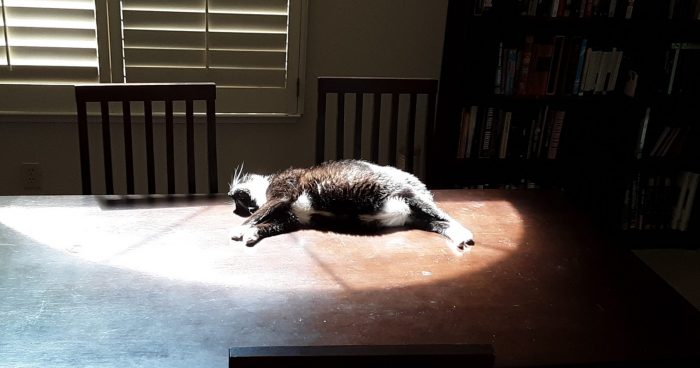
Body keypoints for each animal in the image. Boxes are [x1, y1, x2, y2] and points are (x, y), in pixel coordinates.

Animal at [230, 160, 476, 254]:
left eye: (238, 201)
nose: (231, 194)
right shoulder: (290, 218)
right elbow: (267, 224)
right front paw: (251, 233)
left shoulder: (281, 196)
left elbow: (260, 214)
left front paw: (239, 230)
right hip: (415, 215)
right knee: (439, 223)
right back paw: (458, 238)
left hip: (413, 197)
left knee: (446, 216)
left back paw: (465, 234)